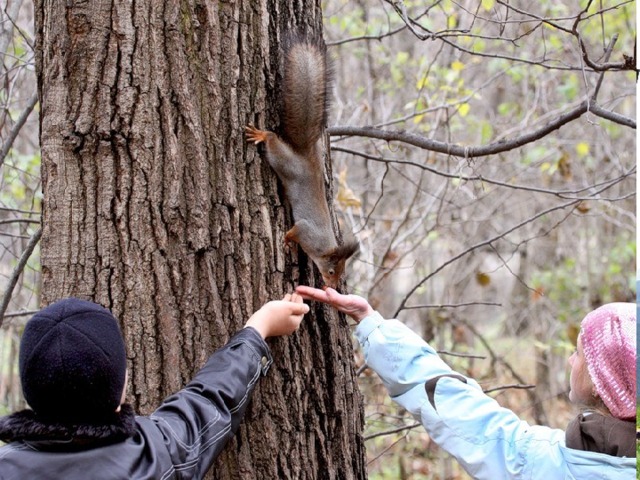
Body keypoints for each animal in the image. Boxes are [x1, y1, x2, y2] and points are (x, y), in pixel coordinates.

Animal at [245, 37, 358, 288]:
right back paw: (262, 135)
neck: (323, 247)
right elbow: (294, 231)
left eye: (341, 273)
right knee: (272, 141)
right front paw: (287, 239)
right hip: (283, 161)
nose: (331, 286)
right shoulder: (307, 231)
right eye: (332, 271)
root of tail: (305, 153)